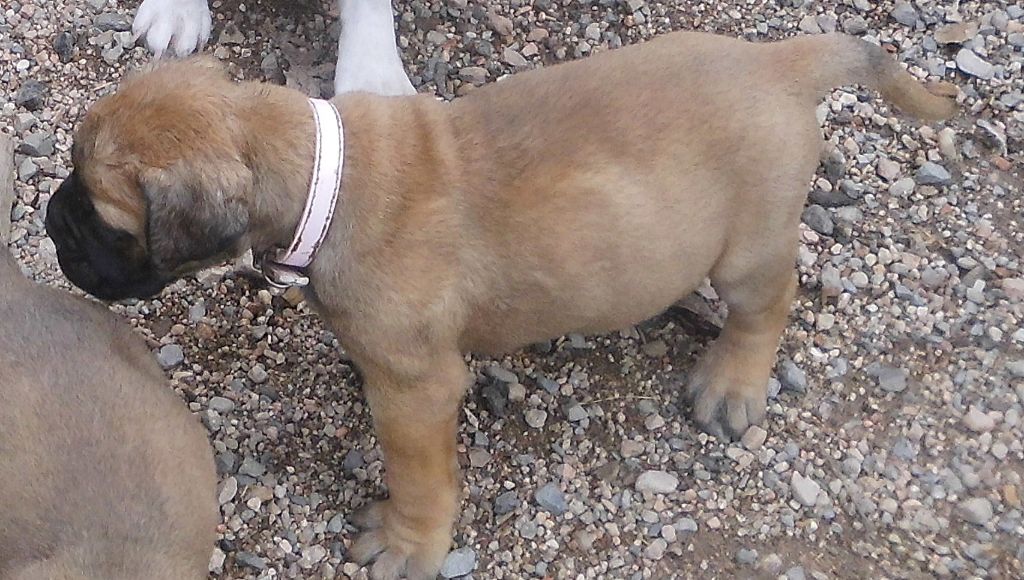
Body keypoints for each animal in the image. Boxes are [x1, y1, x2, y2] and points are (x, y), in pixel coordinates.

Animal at [45, 31, 957, 579]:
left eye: (101, 213)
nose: (52, 223)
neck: (319, 175)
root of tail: (779, 62)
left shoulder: (416, 391)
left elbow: (417, 474)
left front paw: (409, 543)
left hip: (750, 248)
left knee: (768, 304)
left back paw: (733, 379)